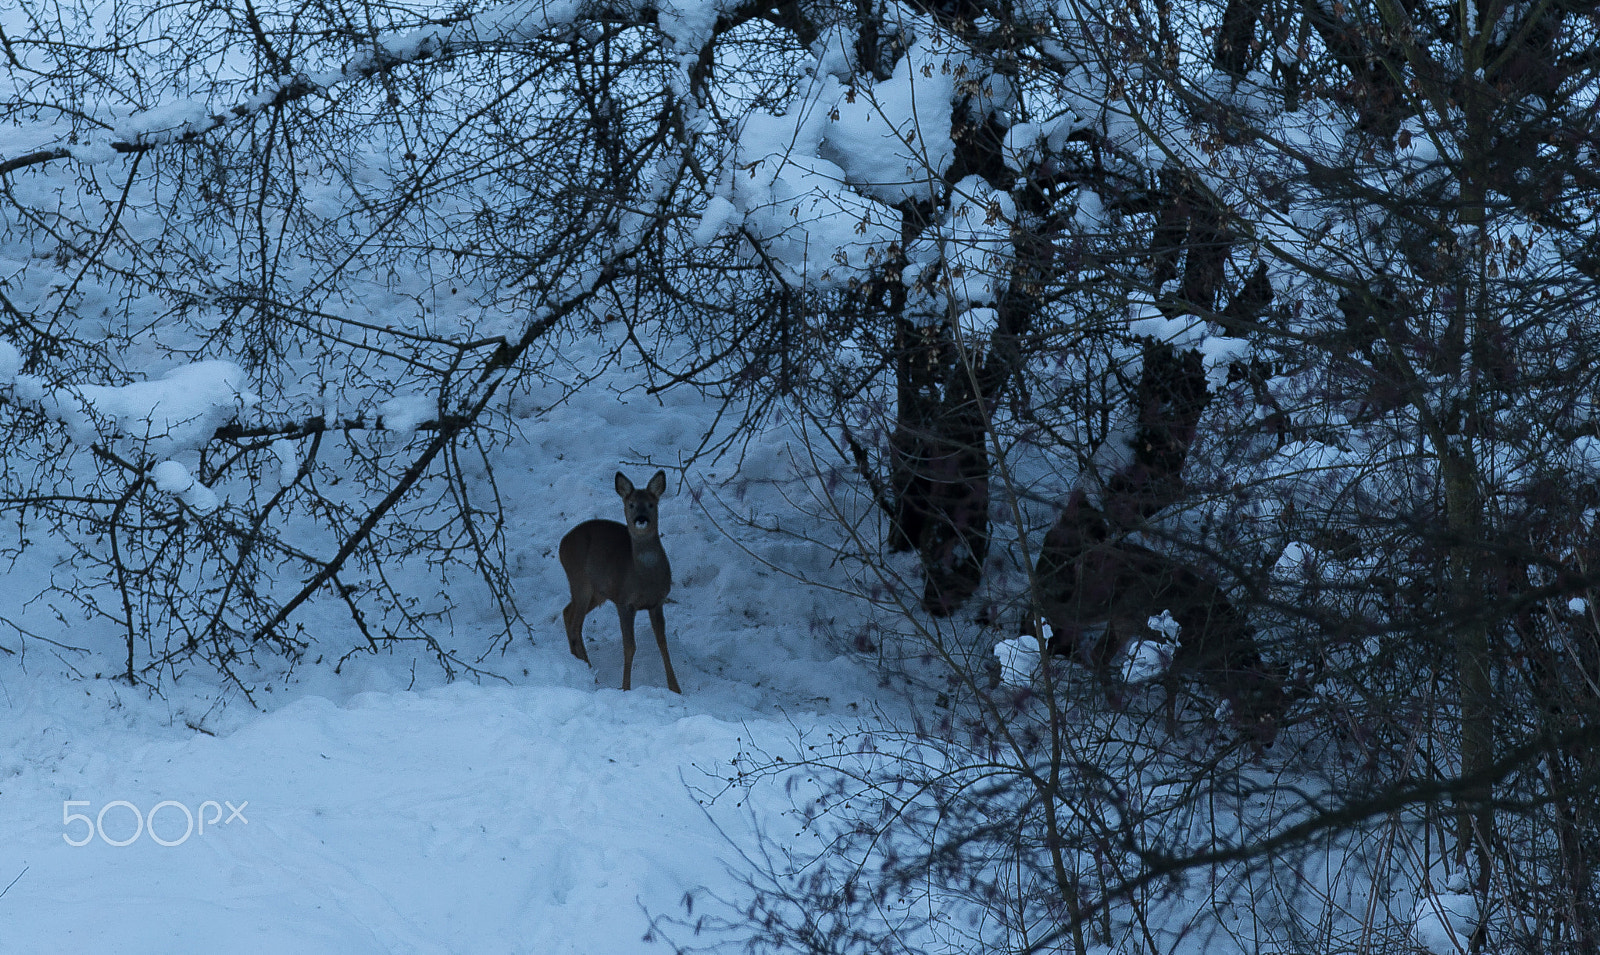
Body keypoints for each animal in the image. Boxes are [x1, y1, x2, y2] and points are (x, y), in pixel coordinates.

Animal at [560, 470, 678, 687]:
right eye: (631, 504)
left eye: (651, 504)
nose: (641, 519)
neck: (644, 578)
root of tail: (562, 543)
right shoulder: (624, 602)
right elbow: (629, 646)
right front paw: (625, 687)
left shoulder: (658, 601)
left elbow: (662, 642)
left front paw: (675, 688)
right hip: (580, 581)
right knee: (575, 624)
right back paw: (589, 673)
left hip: (598, 592)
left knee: (567, 612)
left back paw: (581, 664)